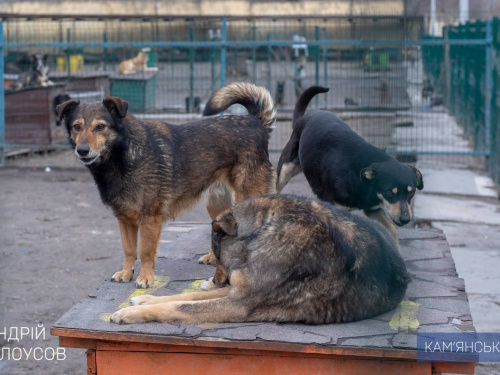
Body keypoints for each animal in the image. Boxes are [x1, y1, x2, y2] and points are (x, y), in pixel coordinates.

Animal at [59, 81, 280, 288]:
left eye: (100, 127)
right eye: (77, 127)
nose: (82, 150)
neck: (123, 154)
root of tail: (254, 121)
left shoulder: (149, 219)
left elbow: (145, 251)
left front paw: (145, 278)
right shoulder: (124, 219)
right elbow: (129, 250)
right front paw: (126, 273)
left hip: (246, 199)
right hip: (216, 204)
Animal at [110, 197, 410, 326]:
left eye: (218, 254)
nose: (217, 278)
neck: (265, 230)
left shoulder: (240, 304)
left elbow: (180, 306)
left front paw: (131, 313)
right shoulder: (237, 291)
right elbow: (186, 298)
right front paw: (144, 300)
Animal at [276, 86, 424, 242]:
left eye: (411, 192)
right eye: (389, 192)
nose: (405, 219)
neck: (362, 179)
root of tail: (302, 118)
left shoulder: (373, 209)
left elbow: (392, 232)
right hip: (285, 171)